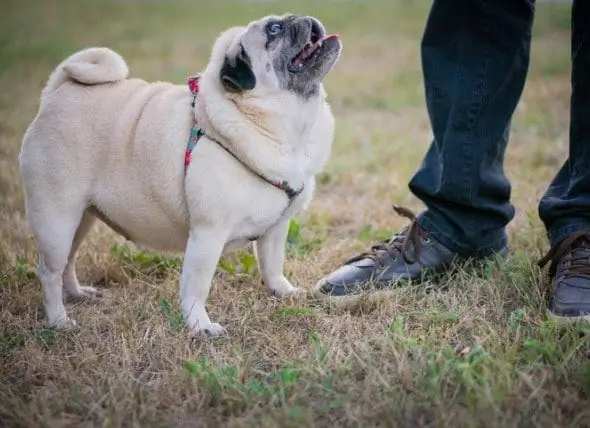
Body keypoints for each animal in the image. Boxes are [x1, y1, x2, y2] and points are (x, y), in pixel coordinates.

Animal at [18, 14, 342, 338]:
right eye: (274, 30)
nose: (304, 18)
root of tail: (59, 90)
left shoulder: (276, 228)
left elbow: (272, 265)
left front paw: (283, 292)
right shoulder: (207, 234)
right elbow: (197, 287)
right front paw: (200, 325)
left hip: (81, 217)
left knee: (69, 261)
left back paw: (76, 294)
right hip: (58, 218)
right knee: (50, 271)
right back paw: (58, 319)